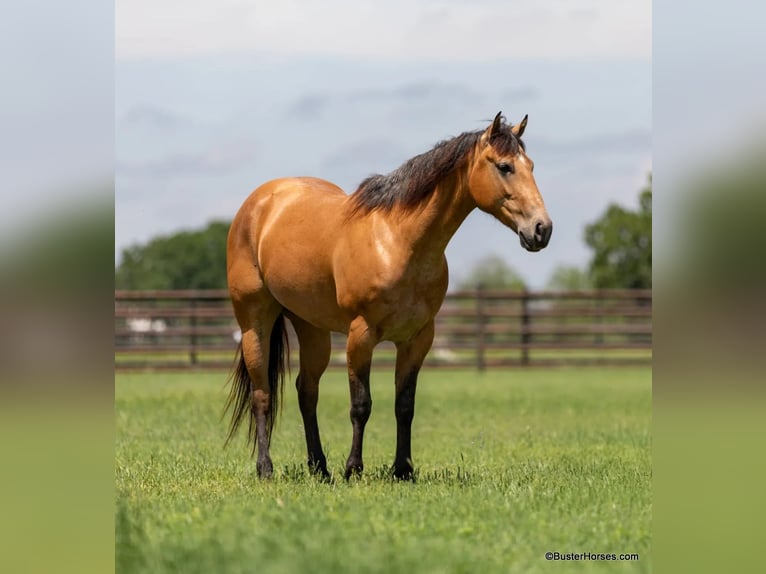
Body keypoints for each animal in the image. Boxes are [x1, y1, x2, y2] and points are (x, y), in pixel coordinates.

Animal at [224, 112, 552, 480]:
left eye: (531, 165)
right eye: (505, 166)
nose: (542, 229)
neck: (398, 241)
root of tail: (259, 203)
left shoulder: (417, 339)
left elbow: (404, 405)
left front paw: (403, 469)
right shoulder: (361, 335)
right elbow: (361, 405)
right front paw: (354, 469)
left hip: (312, 329)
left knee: (306, 391)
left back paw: (320, 468)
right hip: (254, 323)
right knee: (262, 393)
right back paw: (265, 468)